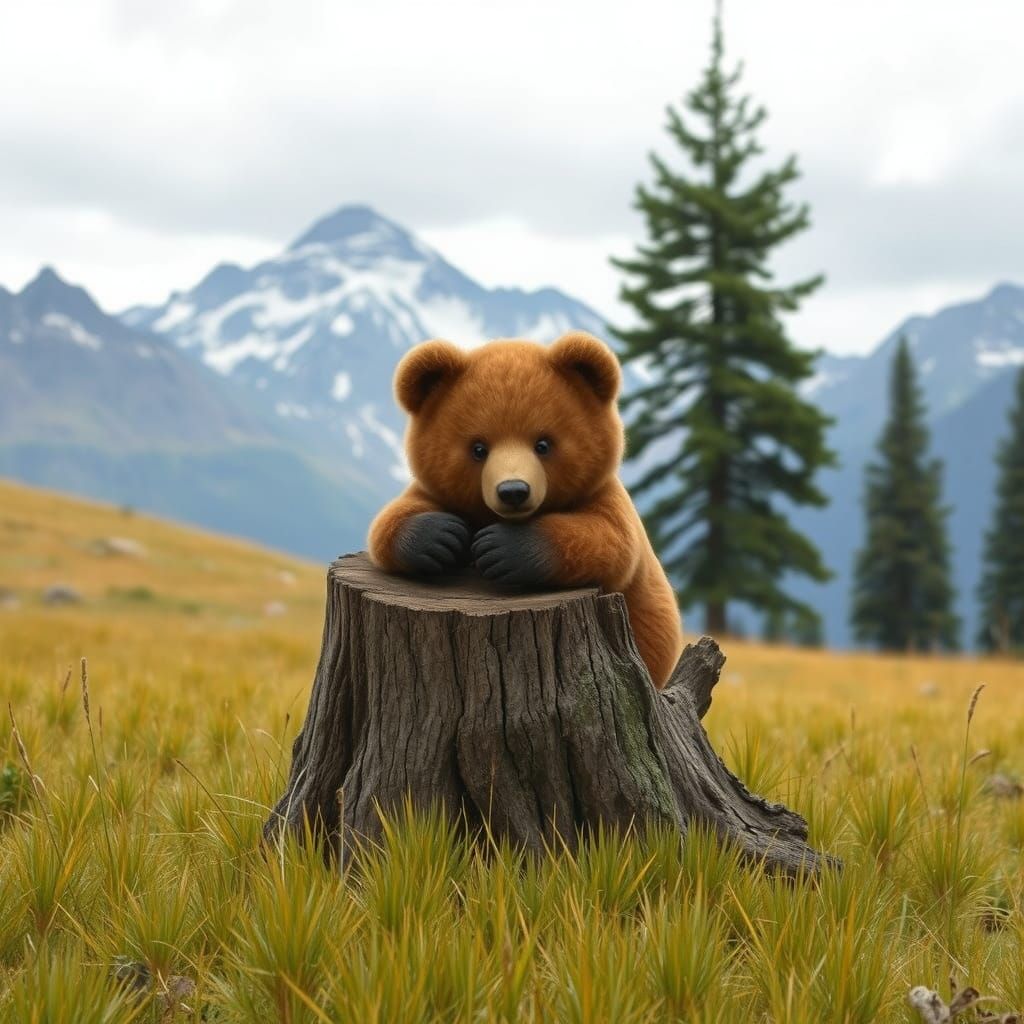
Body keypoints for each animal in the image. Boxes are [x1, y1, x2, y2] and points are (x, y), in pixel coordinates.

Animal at [367, 331, 684, 689]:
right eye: (478, 448)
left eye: (543, 444)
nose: (513, 491)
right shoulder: (436, 493)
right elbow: (390, 521)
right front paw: (441, 537)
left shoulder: (605, 498)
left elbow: (608, 540)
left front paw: (501, 549)